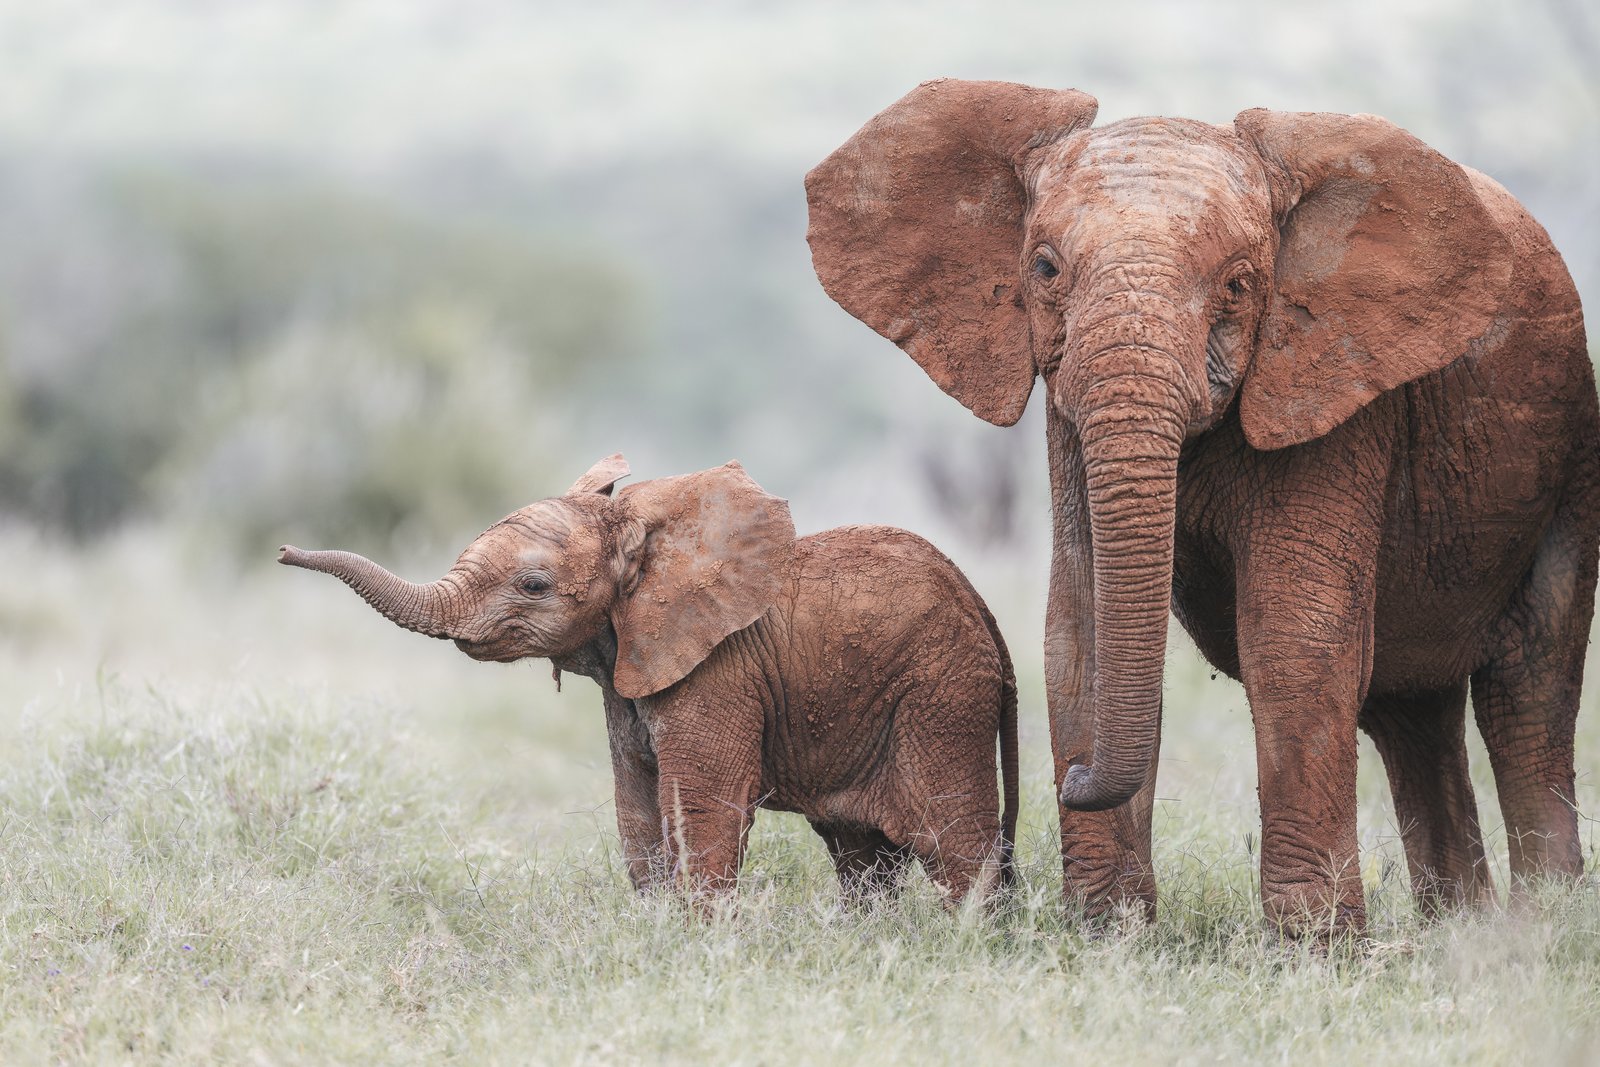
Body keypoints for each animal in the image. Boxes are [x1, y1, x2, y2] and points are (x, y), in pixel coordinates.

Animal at [279, 456, 1019, 906]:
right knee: (861, 854)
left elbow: (703, 810)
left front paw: (700, 948)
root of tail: (984, 608)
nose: (283, 551)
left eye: (534, 585)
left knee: (955, 843)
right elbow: (635, 809)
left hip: (942, 694)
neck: (645, 532)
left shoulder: (718, 671)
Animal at [806, 79, 1597, 934]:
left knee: (1529, 686)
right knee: (1410, 711)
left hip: (1569, 464)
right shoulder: (1067, 410)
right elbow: (1080, 621)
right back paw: (1462, 929)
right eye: (1044, 268)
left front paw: (1311, 944)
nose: (1072, 778)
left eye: (1240, 285)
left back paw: (1539, 926)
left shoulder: (1333, 385)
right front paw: (1108, 932)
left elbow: (1294, 634)